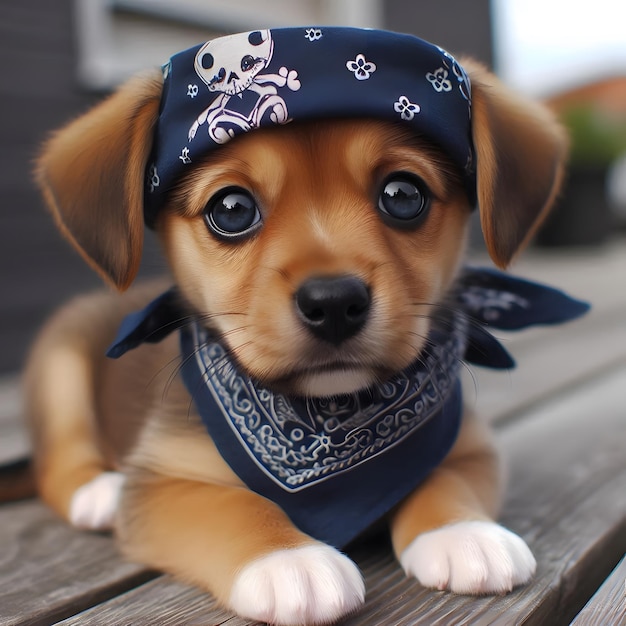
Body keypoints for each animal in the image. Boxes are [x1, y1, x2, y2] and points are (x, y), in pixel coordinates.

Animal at [30, 28, 576, 624]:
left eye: (404, 195)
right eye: (231, 208)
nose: (334, 303)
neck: (325, 416)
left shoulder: (470, 445)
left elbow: (446, 476)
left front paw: (464, 532)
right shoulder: (160, 482)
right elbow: (231, 503)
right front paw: (289, 561)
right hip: (60, 365)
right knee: (59, 461)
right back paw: (99, 493)